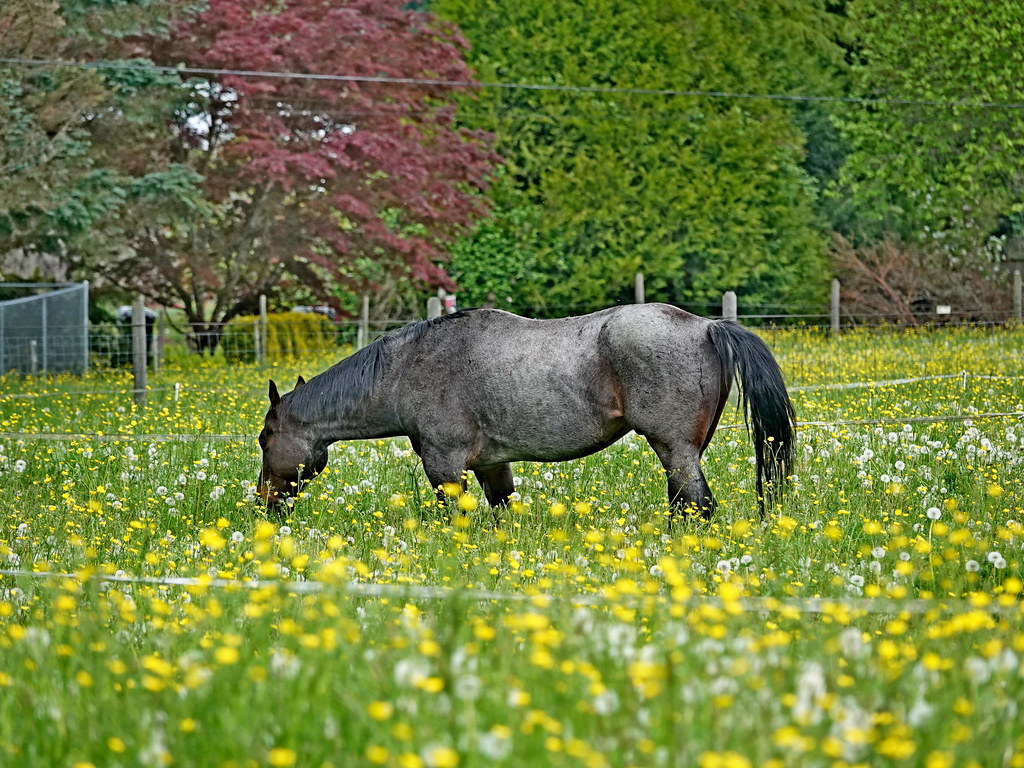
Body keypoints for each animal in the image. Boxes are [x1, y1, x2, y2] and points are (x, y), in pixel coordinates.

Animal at [256, 303, 795, 520]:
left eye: (265, 440)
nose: (264, 501)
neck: (408, 367)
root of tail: (706, 325)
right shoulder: (492, 466)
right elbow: (503, 512)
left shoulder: (445, 467)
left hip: (675, 451)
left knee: (697, 508)